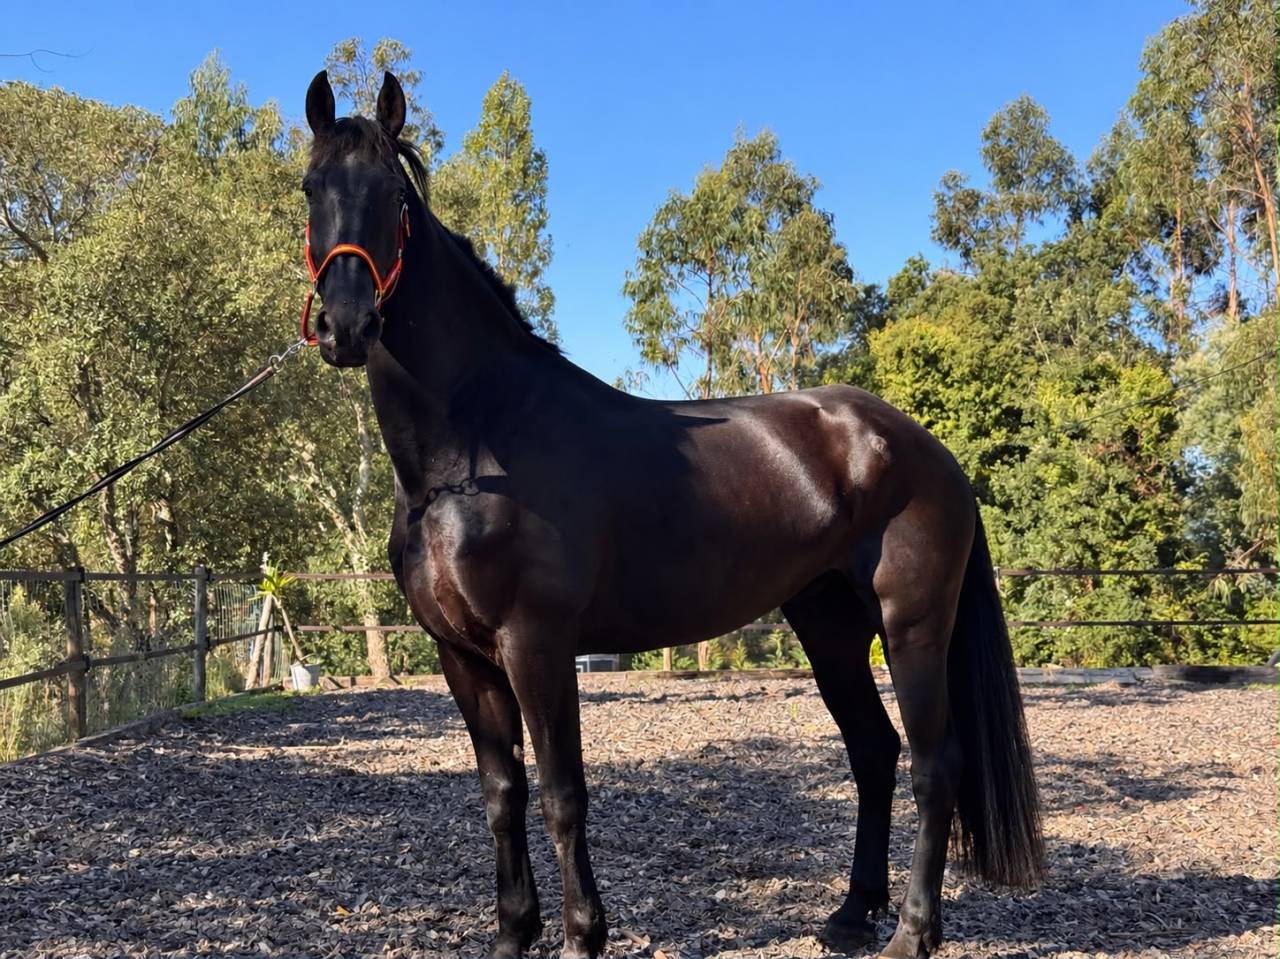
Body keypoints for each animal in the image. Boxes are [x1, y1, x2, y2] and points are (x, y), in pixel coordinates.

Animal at [299, 69, 1043, 959]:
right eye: (310, 188)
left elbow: (562, 793)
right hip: (829, 624)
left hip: (913, 624)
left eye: (391, 195)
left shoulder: (536, 643)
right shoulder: (463, 656)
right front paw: (514, 934)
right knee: (874, 749)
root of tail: (928, 451)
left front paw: (583, 936)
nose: (346, 325)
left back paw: (912, 933)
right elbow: (501, 795)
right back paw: (850, 913)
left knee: (935, 764)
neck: (473, 450)